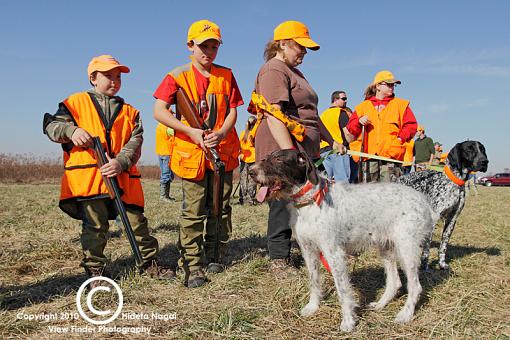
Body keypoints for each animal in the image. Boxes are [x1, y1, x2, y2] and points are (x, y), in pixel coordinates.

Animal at [251, 151, 438, 332]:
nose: (251, 172)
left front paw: (348, 321)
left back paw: (405, 314)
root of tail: (425, 202)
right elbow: (314, 281)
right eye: (267, 157)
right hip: (386, 247)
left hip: (407, 249)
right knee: (394, 282)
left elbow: (342, 291)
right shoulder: (308, 251)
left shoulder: (334, 254)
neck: (310, 201)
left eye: (278, 159)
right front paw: (313, 307)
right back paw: (380, 304)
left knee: (415, 286)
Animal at [396, 139, 488, 270]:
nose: (484, 161)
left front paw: (442, 263)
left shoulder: (452, 220)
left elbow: (443, 245)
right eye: (469, 149)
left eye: (482, 149)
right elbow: (427, 248)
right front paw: (425, 265)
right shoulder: (433, 220)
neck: (455, 183)